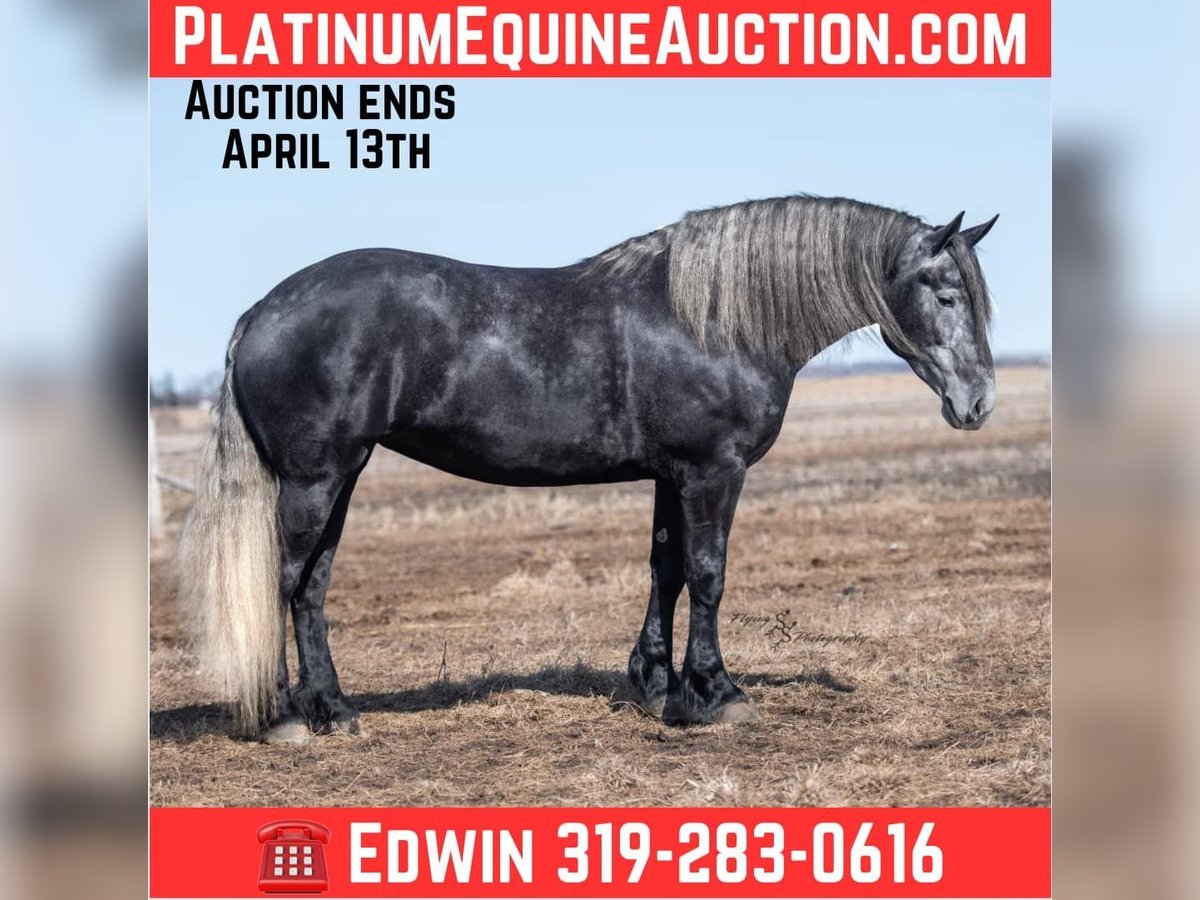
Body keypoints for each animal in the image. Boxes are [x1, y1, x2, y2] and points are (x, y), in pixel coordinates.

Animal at [179, 194, 998, 744]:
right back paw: (284, 717)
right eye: (946, 294)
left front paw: (658, 686)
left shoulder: (672, 475)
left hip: (339, 478)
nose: (979, 401)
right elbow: (708, 574)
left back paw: (334, 710)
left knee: (312, 588)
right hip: (315, 479)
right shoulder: (713, 471)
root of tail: (260, 311)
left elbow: (666, 571)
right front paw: (718, 693)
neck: (715, 318)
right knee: (282, 580)